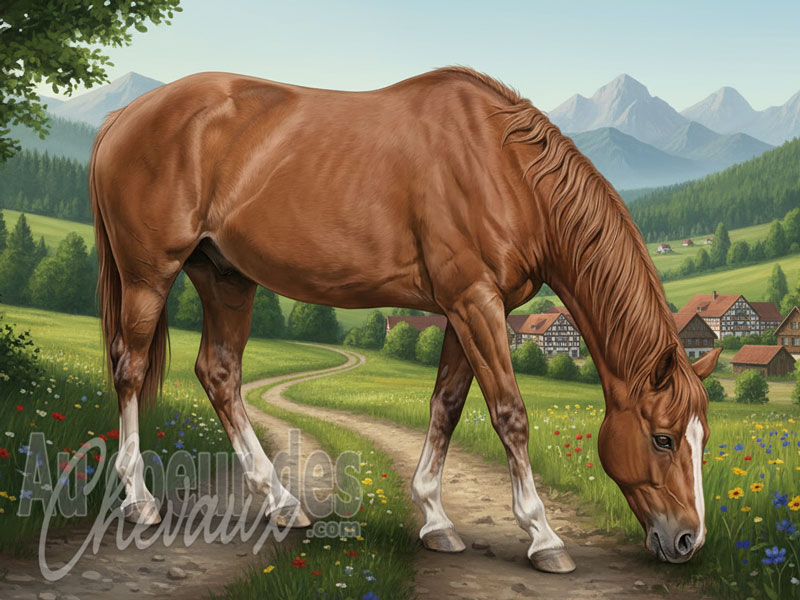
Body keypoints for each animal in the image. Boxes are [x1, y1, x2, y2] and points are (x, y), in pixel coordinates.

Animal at [90, 66, 721, 574]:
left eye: (703, 438)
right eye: (663, 438)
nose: (688, 541)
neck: (506, 169)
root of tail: (123, 117)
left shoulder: (469, 309)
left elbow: (447, 406)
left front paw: (436, 521)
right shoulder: (475, 303)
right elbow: (510, 414)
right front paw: (544, 537)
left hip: (225, 277)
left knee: (219, 374)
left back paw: (283, 504)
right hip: (150, 277)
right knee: (130, 368)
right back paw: (141, 503)